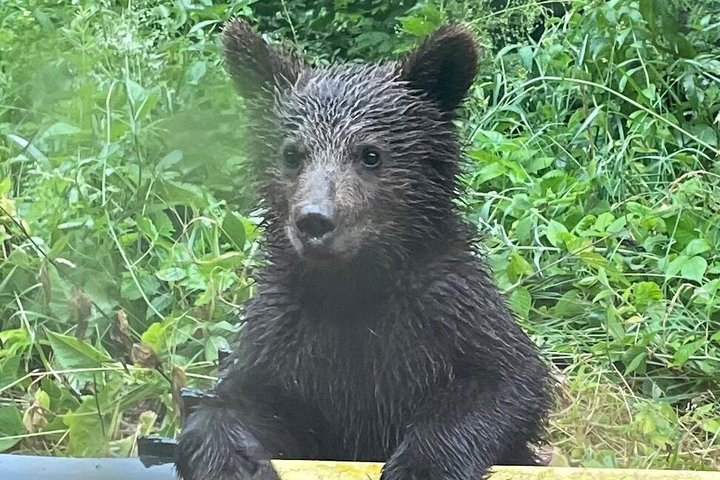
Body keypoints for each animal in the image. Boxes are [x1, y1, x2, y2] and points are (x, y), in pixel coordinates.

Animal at [175, 18, 552, 480]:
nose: (314, 220)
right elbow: (242, 402)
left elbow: (501, 383)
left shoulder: (447, 313)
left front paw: (419, 466)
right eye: (292, 154)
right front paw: (232, 460)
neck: (354, 289)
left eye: (370, 154)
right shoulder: (286, 341)